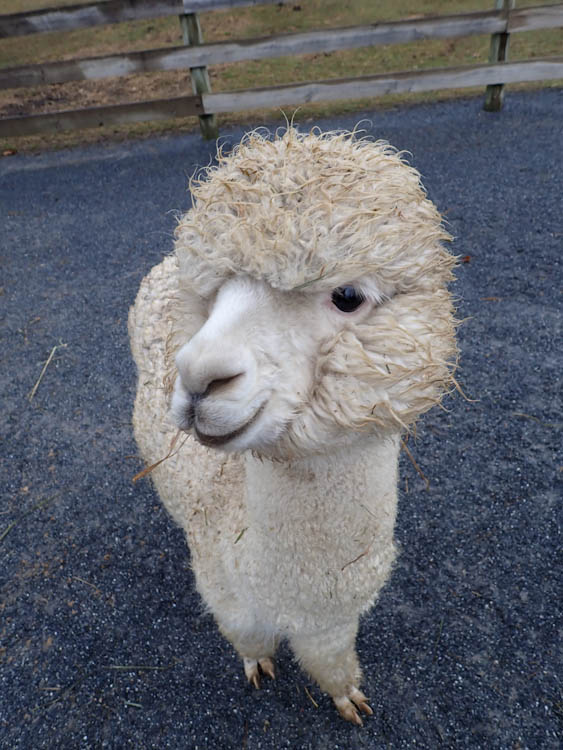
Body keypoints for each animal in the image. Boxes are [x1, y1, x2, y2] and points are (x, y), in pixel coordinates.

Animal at [128, 127, 457, 725]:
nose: (199, 377)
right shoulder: (228, 599)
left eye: (347, 296)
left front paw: (348, 698)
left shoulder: (333, 620)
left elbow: (334, 665)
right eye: (211, 298)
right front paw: (257, 666)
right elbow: (249, 643)